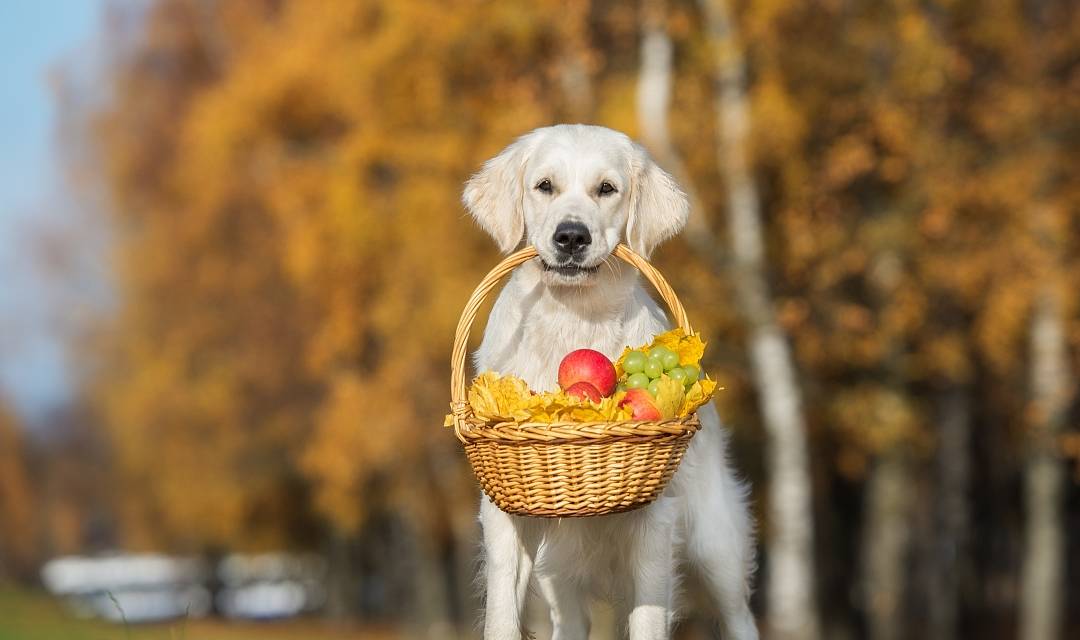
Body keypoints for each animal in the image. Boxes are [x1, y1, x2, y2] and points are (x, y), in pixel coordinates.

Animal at [464, 122, 760, 634]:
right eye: (545, 186)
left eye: (606, 189)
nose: (571, 236)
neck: (574, 317)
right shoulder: (506, 512)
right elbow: (501, 616)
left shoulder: (655, 524)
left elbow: (647, 621)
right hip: (560, 576)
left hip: (716, 542)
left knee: (739, 614)